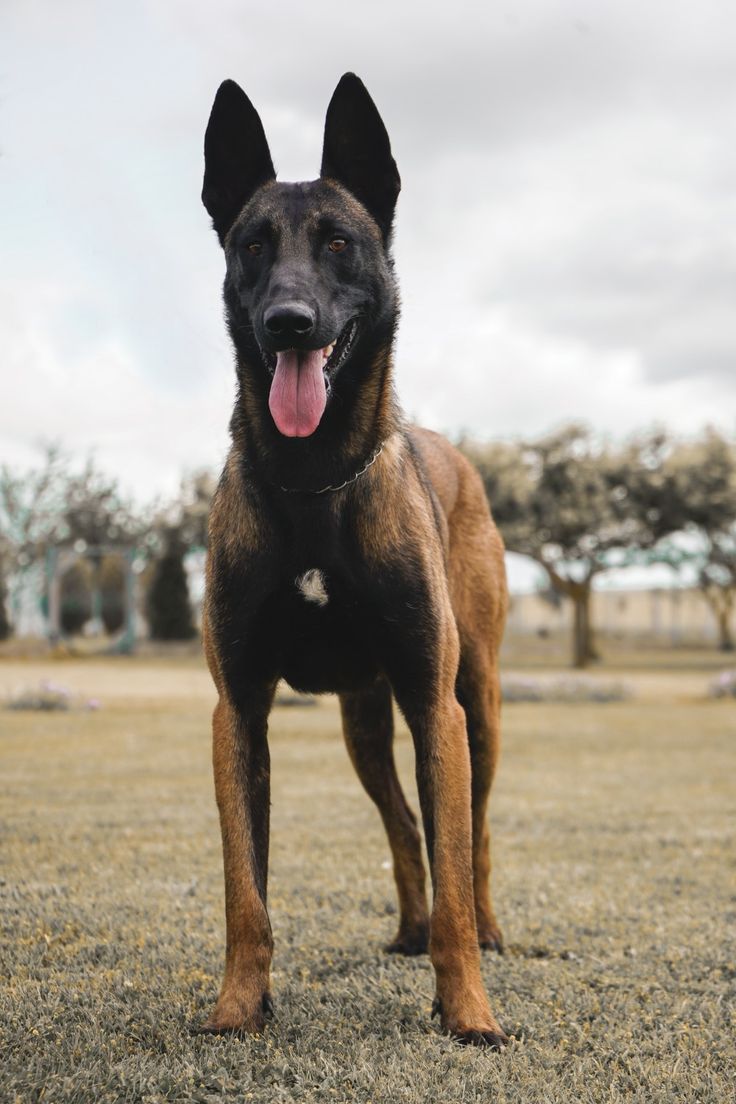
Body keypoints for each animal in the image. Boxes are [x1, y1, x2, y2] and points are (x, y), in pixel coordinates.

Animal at [198, 75, 509, 1042]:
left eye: (338, 242)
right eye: (253, 245)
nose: (289, 323)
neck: (314, 480)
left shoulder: (434, 705)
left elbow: (456, 867)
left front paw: (468, 1011)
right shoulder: (239, 713)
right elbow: (246, 895)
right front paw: (239, 1007)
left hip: (475, 707)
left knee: (472, 839)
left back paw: (487, 933)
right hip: (364, 726)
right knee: (405, 826)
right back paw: (408, 927)